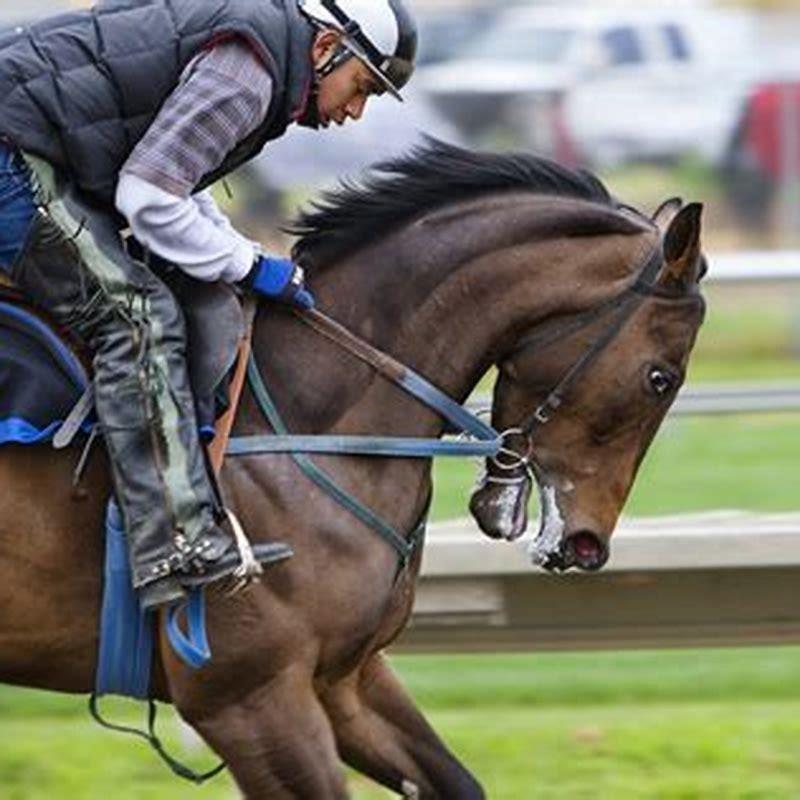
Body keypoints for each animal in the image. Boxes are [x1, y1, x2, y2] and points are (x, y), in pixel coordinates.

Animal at [0, 140, 706, 798]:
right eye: (660, 378)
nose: (586, 544)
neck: (301, 411)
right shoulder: (246, 698)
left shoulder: (345, 677)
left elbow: (456, 781)